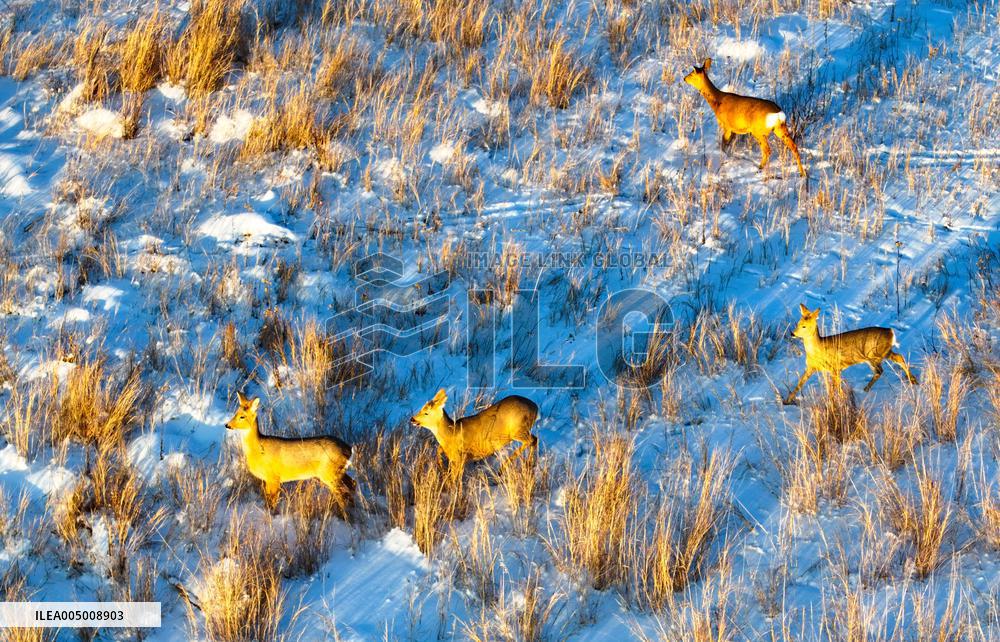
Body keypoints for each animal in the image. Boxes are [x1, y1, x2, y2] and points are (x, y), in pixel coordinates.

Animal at [225, 392, 354, 506]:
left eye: (242, 416)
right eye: (235, 413)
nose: (227, 425)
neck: (258, 448)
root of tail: (348, 449)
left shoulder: (273, 477)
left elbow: (271, 504)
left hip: (330, 473)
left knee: (343, 494)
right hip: (338, 473)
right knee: (353, 484)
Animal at [410, 389, 539, 482]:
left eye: (426, 413)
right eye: (421, 409)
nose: (412, 419)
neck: (452, 433)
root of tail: (535, 407)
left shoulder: (460, 457)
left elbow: (455, 478)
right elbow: (438, 450)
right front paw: (441, 467)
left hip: (517, 430)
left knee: (531, 440)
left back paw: (504, 469)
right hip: (522, 430)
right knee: (535, 439)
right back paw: (530, 464)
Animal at [784, 304, 918, 405]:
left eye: (804, 326)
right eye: (798, 323)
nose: (792, 333)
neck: (819, 349)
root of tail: (890, 331)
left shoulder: (835, 367)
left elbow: (836, 387)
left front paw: (839, 401)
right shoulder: (811, 367)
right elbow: (800, 383)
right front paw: (787, 400)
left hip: (875, 354)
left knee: (886, 366)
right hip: (880, 353)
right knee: (893, 361)